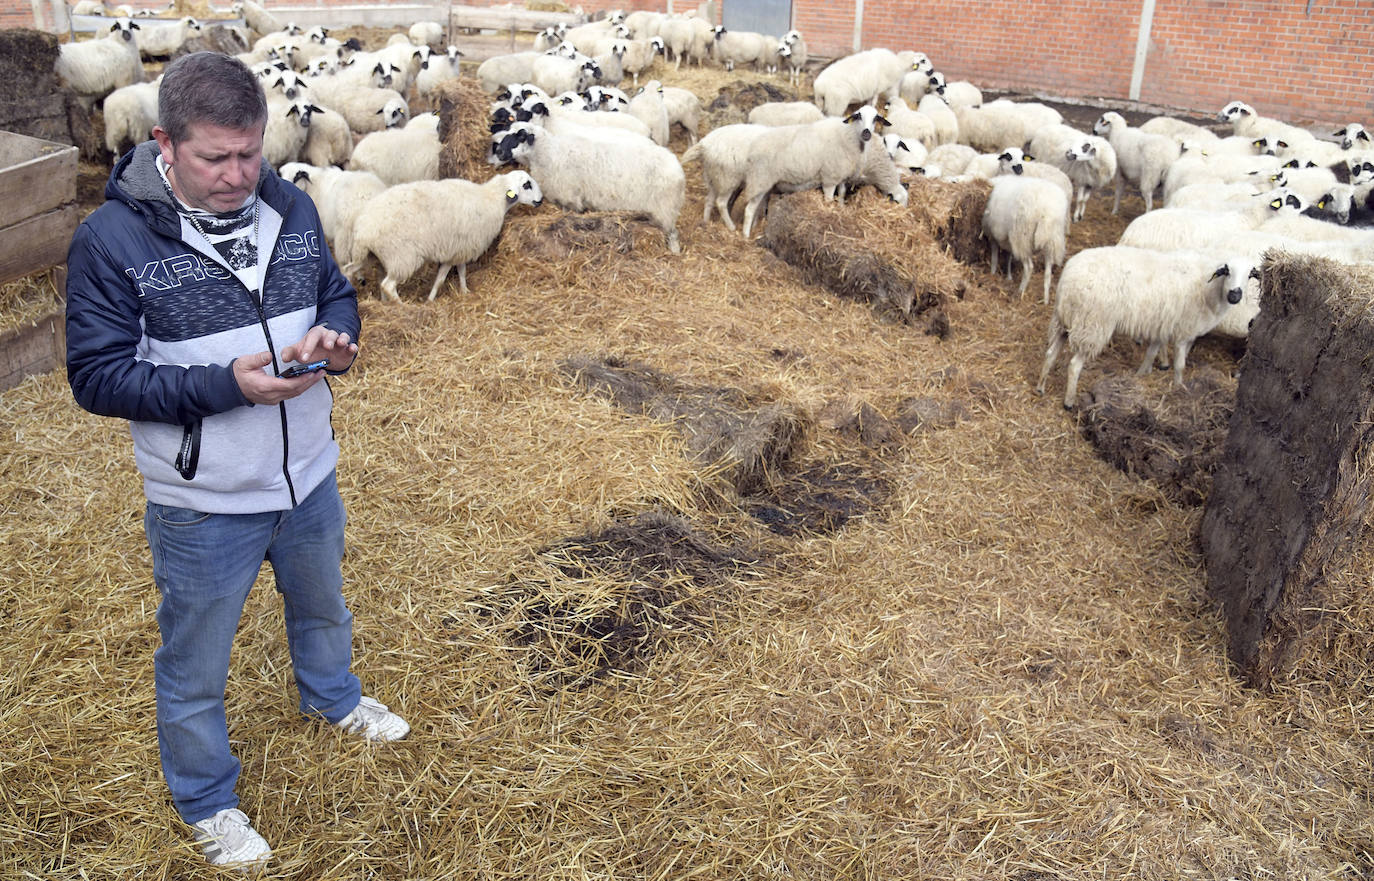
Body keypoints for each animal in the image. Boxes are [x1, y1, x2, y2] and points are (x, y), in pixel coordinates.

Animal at [346, 169, 544, 302]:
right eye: (527, 184)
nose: (540, 200)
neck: (492, 199)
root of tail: (363, 229)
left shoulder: (460, 248)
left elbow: (458, 272)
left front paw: (462, 291)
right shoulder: (459, 249)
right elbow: (442, 278)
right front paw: (432, 299)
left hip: (370, 255)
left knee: (350, 270)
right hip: (402, 256)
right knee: (387, 285)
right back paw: (402, 306)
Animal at [500, 120, 687, 252]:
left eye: (521, 136)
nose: (500, 153)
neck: (548, 153)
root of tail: (677, 169)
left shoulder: (570, 198)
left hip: (664, 209)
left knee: (673, 234)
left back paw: (674, 252)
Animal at [736, 103, 884, 236]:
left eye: (876, 118)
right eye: (858, 116)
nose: (866, 133)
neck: (849, 135)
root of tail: (753, 148)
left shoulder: (841, 175)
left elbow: (841, 194)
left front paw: (842, 209)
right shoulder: (830, 177)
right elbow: (829, 200)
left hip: (766, 184)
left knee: (758, 206)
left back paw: (755, 228)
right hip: (760, 179)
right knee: (749, 210)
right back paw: (746, 236)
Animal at [983, 173, 1066, 303]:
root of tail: (1046, 211)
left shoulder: (993, 236)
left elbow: (994, 257)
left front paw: (992, 272)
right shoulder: (1008, 239)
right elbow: (1008, 256)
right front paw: (1008, 276)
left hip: (1022, 237)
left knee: (1029, 268)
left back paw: (1020, 291)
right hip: (1051, 241)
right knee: (1048, 273)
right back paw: (1046, 300)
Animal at [1033, 248, 1258, 406]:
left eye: (1249, 275)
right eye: (1227, 271)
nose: (1235, 295)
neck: (1208, 289)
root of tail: (1069, 277)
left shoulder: (1161, 326)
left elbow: (1151, 353)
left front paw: (1141, 374)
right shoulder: (1183, 331)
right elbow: (1180, 365)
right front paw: (1179, 388)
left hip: (1065, 320)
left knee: (1051, 353)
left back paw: (1040, 387)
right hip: (1092, 324)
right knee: (1074, 365)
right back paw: (1069, 401)